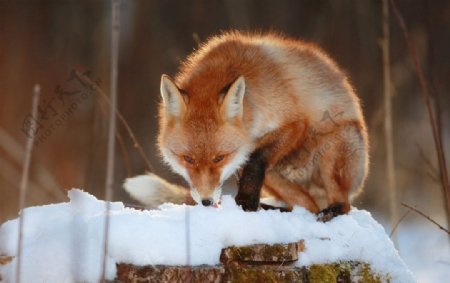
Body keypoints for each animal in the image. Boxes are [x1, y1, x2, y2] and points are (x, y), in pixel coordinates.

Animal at [124, 31, 370, 219]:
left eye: (219, 158)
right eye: (188, 159)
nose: (206, 202)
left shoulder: (295, 123)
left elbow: (256, 158)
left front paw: (246, 200)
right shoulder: (245, 151)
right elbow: (252, 163)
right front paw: (249, 202)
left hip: (335, 145)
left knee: (339, 204)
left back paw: (330, 211)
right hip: (273, 175)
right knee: (306, 205)